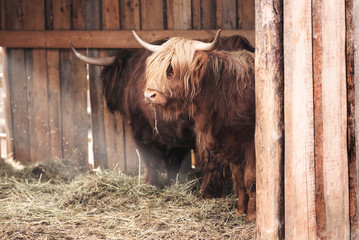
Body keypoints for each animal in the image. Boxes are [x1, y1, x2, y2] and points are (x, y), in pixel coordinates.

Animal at [134, 29, 256, 221]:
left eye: (171, 69)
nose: (149, 95)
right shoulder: (231, 143)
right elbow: (239, 178)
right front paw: (239, 212)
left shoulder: (250, 140)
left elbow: (250, 179)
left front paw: (251, 216)